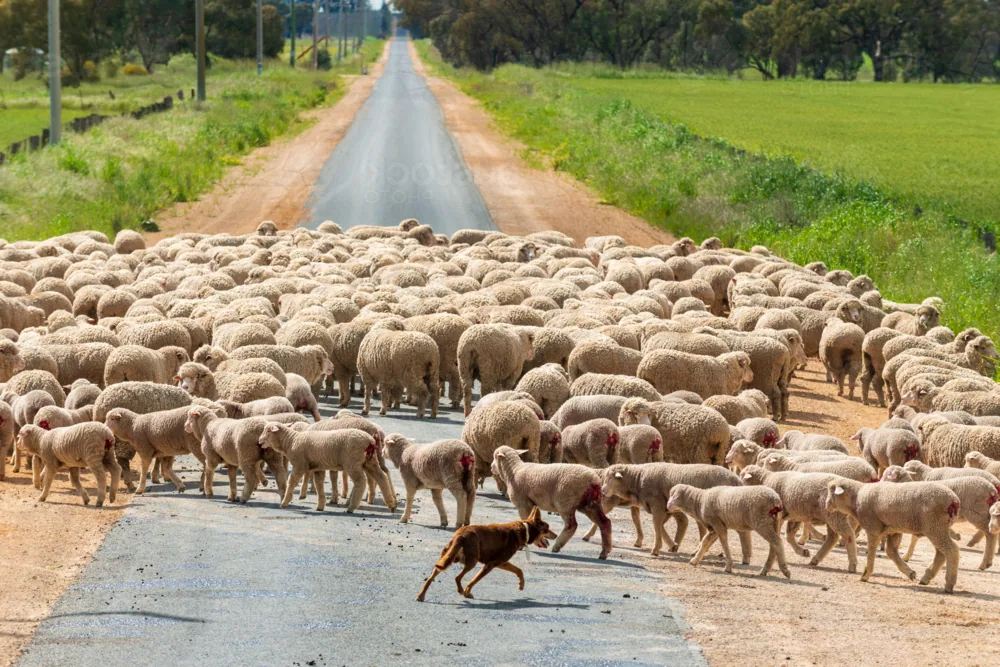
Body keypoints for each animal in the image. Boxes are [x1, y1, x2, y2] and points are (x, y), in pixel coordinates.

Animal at [258, 422, 395, 512]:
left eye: (268, 431)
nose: (259, 441)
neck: (292, 441)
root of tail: (370, 440)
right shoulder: (317, 467)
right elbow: (319, 484)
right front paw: (321, 505)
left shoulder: (299, 465)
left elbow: (291, 482)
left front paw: (285, 502)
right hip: (370, 461)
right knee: (381, 477)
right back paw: (391, 504)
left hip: (352, 461)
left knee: (361, 481)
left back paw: (352, 507)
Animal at [599, 463, 742, 555]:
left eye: (610, 478)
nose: (602, 490)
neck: (637, 479)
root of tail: (737, 480)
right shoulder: (662, 507)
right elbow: (660, 526)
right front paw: (672, 545)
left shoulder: (657, 505)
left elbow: (657, 525)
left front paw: (656, 549)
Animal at [824, 478, 961, 593]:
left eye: (831, 490)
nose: (826, 505)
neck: (857, 497)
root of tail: (954, 500)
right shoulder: (893, 530)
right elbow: (891, 552)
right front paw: (910, 572)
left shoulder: (873, 527)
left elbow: (872, 550)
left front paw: (866, 574)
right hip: (937, 528)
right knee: (941, 554)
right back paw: (926, 578)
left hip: (935, 526)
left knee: (952, 550)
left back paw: (949, 584)